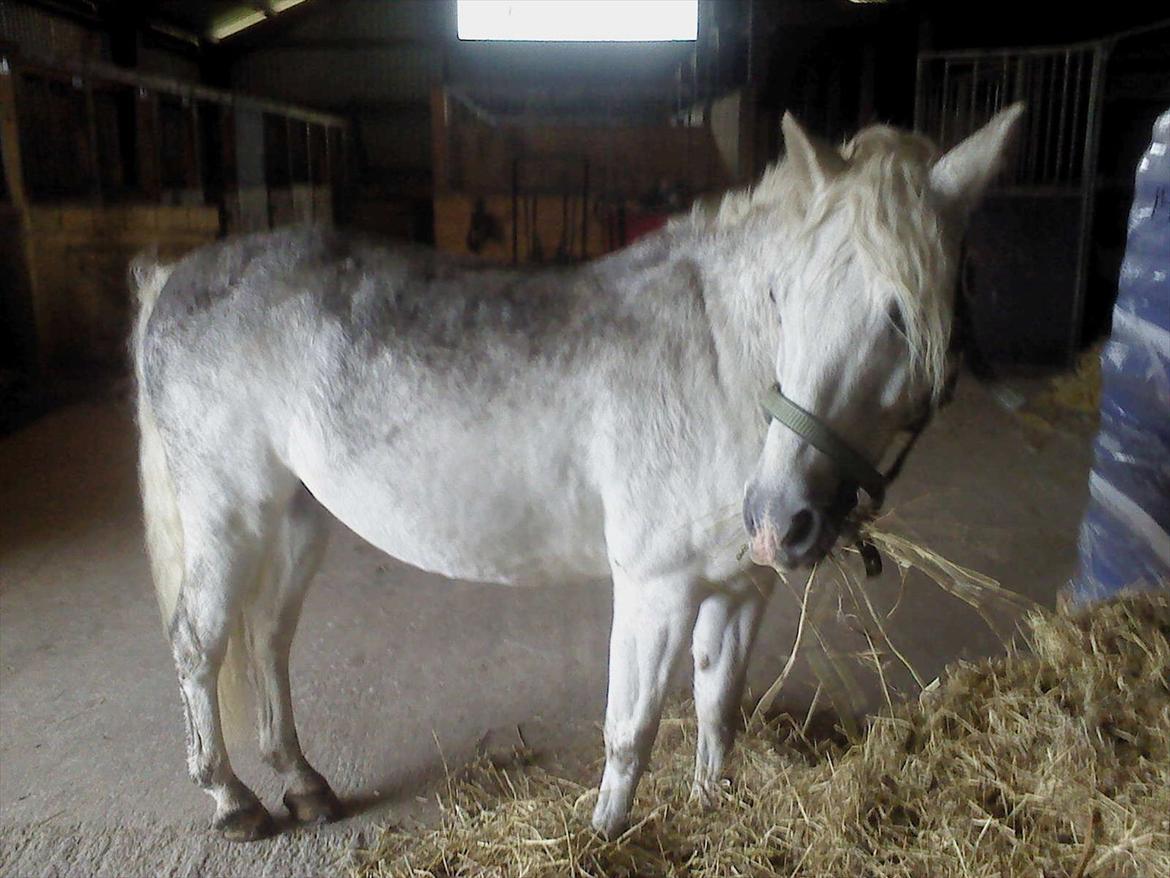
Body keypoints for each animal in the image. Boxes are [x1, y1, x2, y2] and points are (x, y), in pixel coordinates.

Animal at [132, 106, 1020, 842]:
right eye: (782, 295)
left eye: (904, 315)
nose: (779, 518)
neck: (716, 361)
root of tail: (173, 278)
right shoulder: (656, 587)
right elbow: (629, 733)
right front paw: (600, 839)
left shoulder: (740, 589)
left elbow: (717, 711)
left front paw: (711, 810)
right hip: (229, 516)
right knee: (199, 643)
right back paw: (233, 801)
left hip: (297, 518)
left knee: (267, 639)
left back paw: (304, 784)